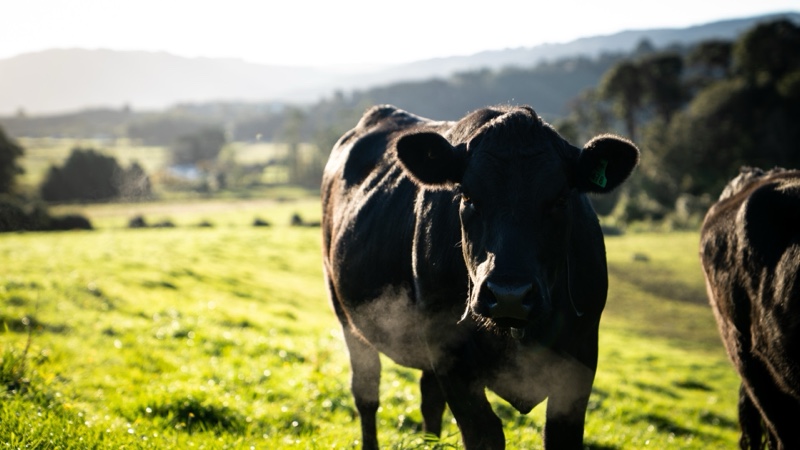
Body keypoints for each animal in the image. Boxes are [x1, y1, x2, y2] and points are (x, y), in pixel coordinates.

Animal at [321, 104, 639, 449]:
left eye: (560, 199)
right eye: (468, 197)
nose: (509, 296)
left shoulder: (581, 356)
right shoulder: (450, 353)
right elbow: (484, 433)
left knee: (428, 399)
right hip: (346, 313)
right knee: (366, 393)